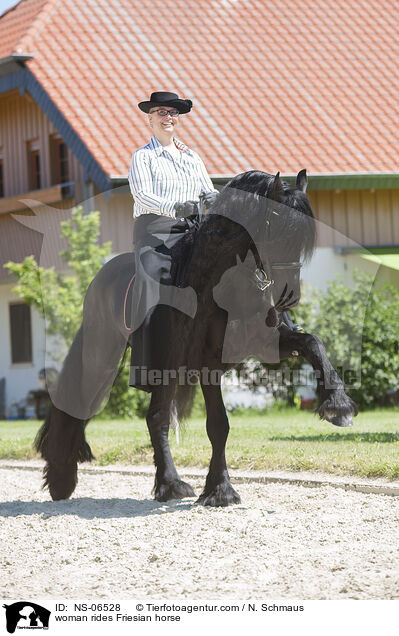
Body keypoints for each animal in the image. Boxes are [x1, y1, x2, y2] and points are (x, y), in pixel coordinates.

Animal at [35, 169, 360, 506]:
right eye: (277, 231)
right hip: (112, 357)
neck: (224, 283)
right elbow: (218, 424)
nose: (288, 297)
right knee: (120, 411)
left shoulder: (266, 345)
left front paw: (337, 405)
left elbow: (313, 343)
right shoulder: (206, 363)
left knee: (152, 417)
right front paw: (220, 490)